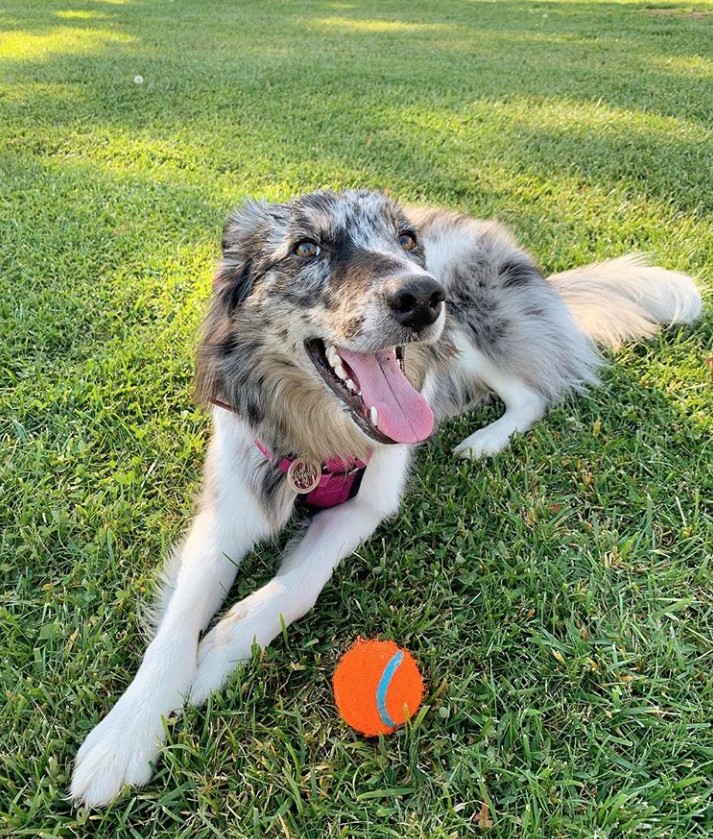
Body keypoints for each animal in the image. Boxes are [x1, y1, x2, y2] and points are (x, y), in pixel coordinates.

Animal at [68, 189, 700, 808]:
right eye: (306, 246)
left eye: (406, 239)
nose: (421, 296)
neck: (318, 440)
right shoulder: (228, 506)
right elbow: (178, 620)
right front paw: (125, 736)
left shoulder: (366, 507)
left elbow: (296, 586)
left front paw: (221, 652)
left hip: (467, 329)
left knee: (533, 395)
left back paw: (484, 441)